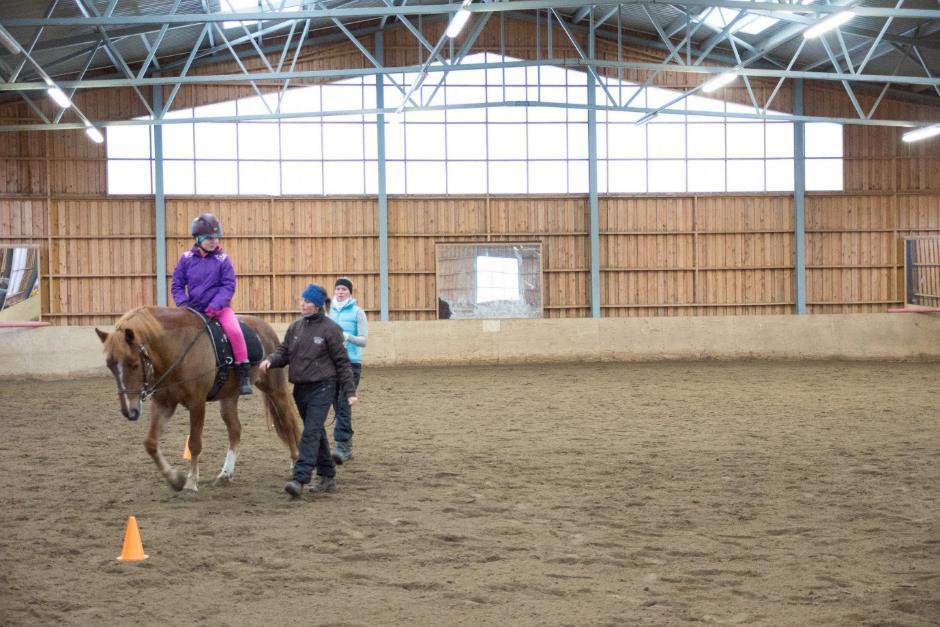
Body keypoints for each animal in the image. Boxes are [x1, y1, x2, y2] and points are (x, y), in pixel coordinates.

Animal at [95, 306, 302, 494]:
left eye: (134, 364)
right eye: (110, 365)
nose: (129, 411)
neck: (177, 348)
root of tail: (265, 327)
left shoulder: (197, 404)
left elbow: (194, 444)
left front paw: (191, 482)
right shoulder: (164, 404)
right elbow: (151, 443)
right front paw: (175, 479)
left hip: (274, 389)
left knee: (288, 423)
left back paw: (295, 463)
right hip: (229, 397)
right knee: (235, 430)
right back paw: (225, 474)